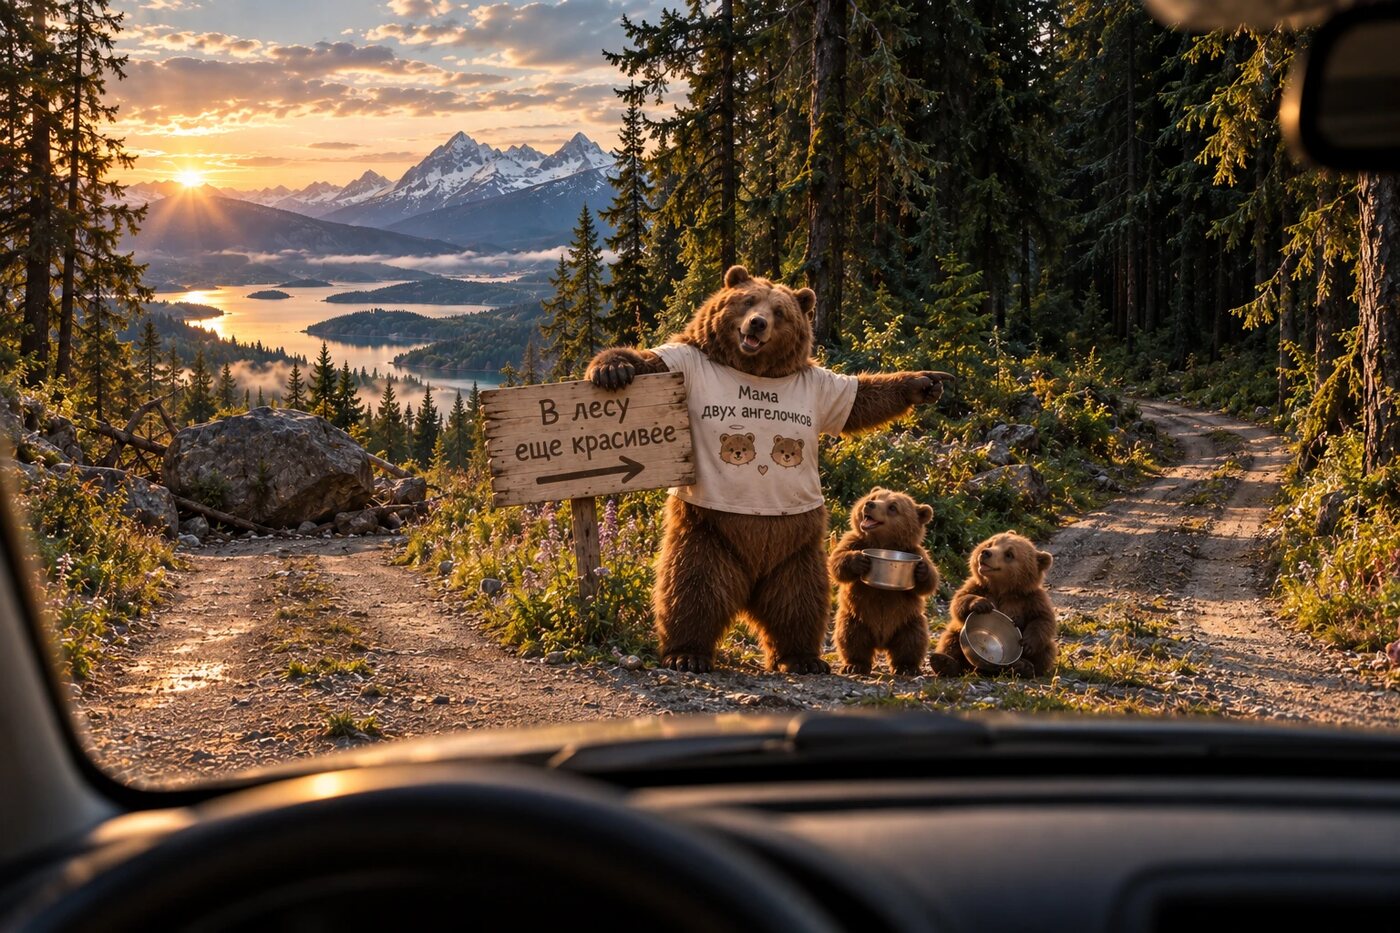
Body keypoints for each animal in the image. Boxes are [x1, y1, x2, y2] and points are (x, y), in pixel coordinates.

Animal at [829, 488, 939, 676]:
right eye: (874, 497)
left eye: (893, 507)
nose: (869, 504)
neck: (882, 543)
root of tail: (881, 642)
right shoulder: (855, 541)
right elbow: (837, 562)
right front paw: (858, 560)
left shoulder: (913, 550)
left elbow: (929, 582)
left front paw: (922, 570)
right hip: (856, 617)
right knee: (851, 637)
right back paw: (855, 664)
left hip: (907, 620)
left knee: (913, 639)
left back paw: (907, 667)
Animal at [929, 531, 1057, 678]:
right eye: (990, 543)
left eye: (1009, 554)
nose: (985, 553)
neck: (1000, 588)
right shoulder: (978, 587)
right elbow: (959, 601)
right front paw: (981, 604)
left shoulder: (1029, 597)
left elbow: (1042, 618)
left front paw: (1027, 643)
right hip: (957, 636)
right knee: (951, 638)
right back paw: (944, 662)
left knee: (1046, 650)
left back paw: (1024, 667)